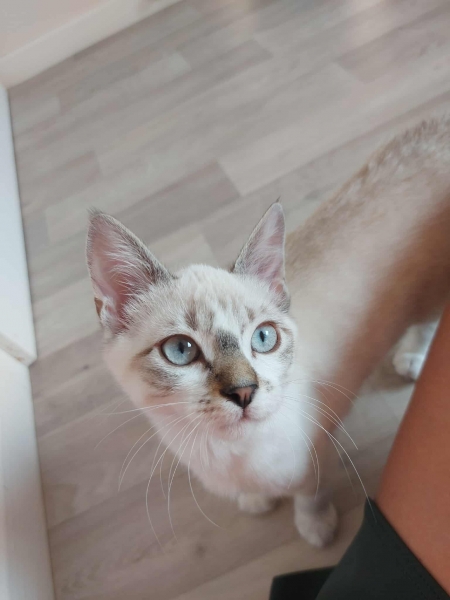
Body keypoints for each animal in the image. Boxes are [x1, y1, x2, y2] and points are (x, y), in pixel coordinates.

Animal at [87, 116, 450, 547]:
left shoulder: (315, 455)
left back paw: (411, 358)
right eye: (180, 350)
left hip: (431, 291)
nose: (245, 391)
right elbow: (258, 493)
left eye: (263, 338)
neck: (228, 453)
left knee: (427, 320)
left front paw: (317, 530)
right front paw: (257, 501)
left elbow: (311, 496)